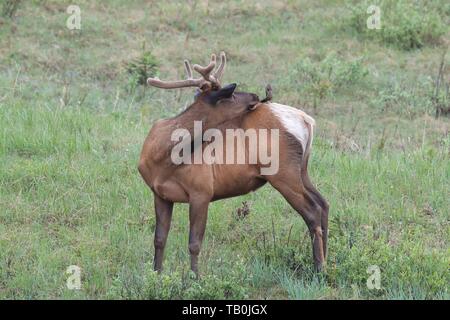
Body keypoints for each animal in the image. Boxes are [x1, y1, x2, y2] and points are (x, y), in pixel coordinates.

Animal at [137, 52, 326, 276]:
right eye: (231, 94)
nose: (257, 95)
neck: (163, 159)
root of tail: (307, 120)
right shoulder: (160, 193)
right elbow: (159, 239)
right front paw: (156, 274)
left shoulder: (202, 190)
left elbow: (194, 243)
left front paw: (194, 278)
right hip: (301, 169)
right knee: (323, 204)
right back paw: (327, 261)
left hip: (283, 172)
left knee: (313, 211)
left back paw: (320, 269)